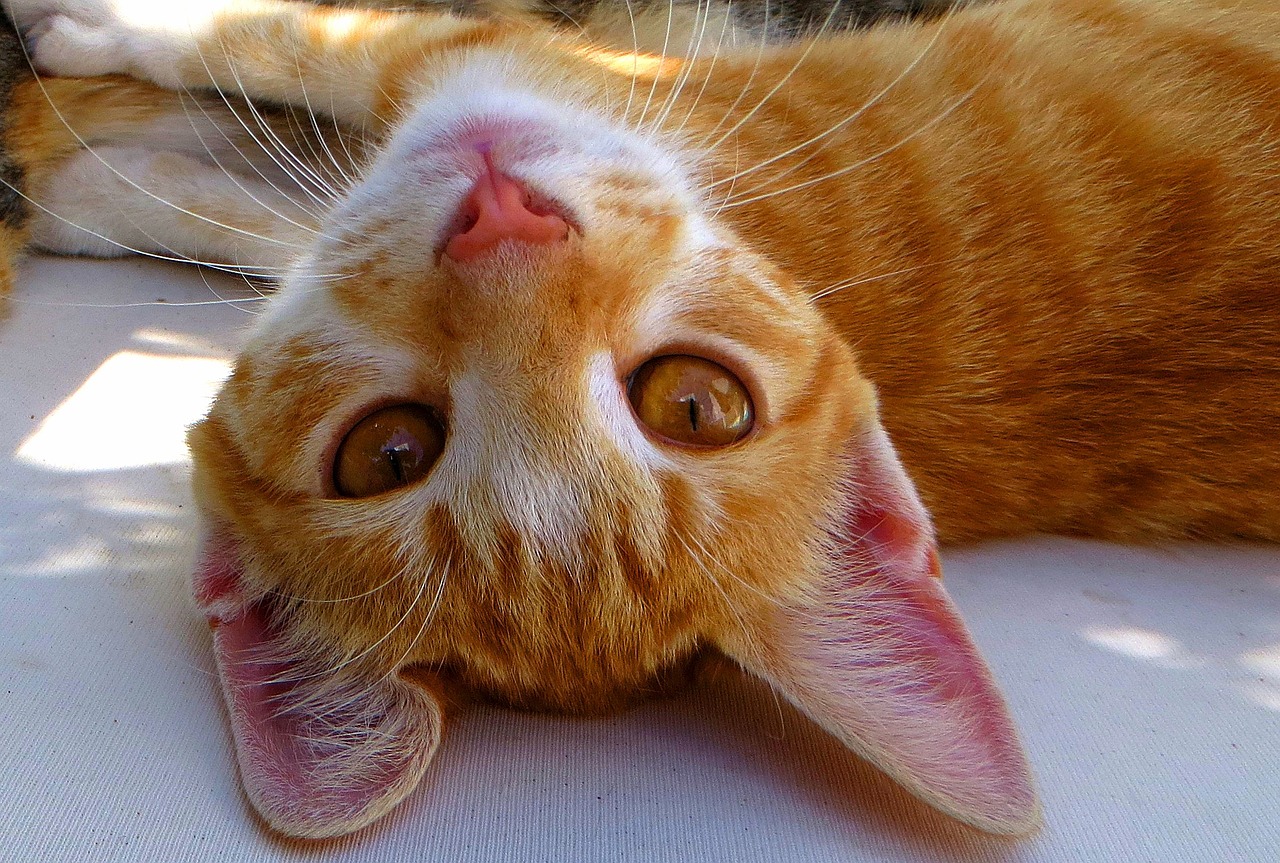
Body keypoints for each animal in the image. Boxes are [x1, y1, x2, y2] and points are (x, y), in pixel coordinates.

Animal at [5, 0, 1274, 839]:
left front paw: (79, 121)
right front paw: (91, 175)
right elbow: (267, 198)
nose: (501, 217)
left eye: (696, 404)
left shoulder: (503, 59)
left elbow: (279, 41)